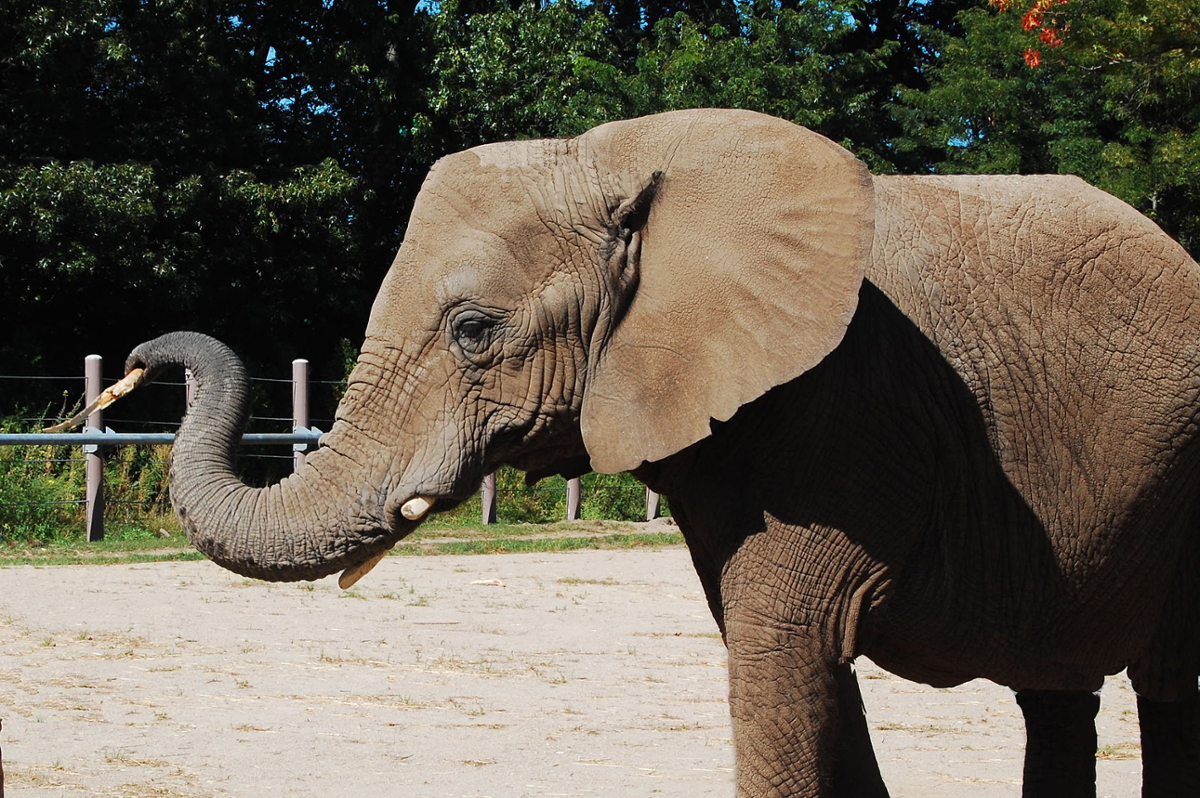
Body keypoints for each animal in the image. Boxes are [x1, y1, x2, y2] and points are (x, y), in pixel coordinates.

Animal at [114, 112, 1200, 796]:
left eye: (471, 331)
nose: (135, 362)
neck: (625, 157)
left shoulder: (853, 411)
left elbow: (782, 645)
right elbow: (788, 656)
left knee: (1163, 688)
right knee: (1058, 694)